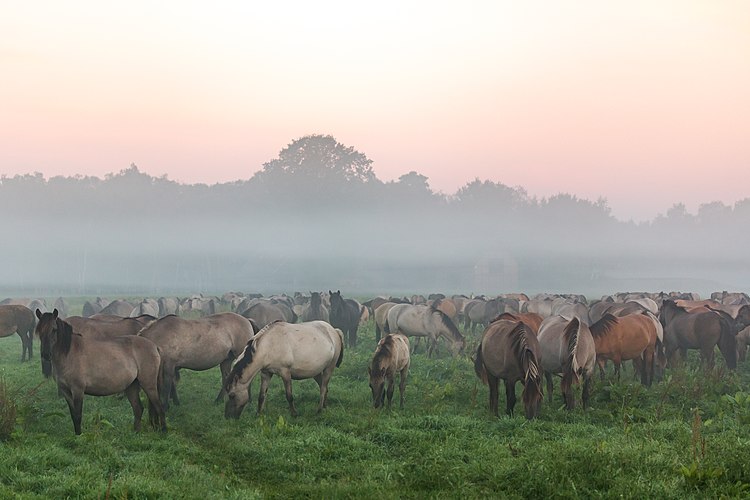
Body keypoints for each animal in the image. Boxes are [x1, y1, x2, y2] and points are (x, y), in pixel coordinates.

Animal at [35, 308, 167, 434]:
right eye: (39, 331)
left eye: (54, 329)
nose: (45, 354)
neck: (69, 354)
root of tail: (154, 346)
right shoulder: (66, 391)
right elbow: (73, 415)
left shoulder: (78, 390)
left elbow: (78, 415)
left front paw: (79, 436)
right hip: (132, 386)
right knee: (138, 408)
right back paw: (136, 432)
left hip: (149, 385)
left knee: (159, 407)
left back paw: (163, 431)